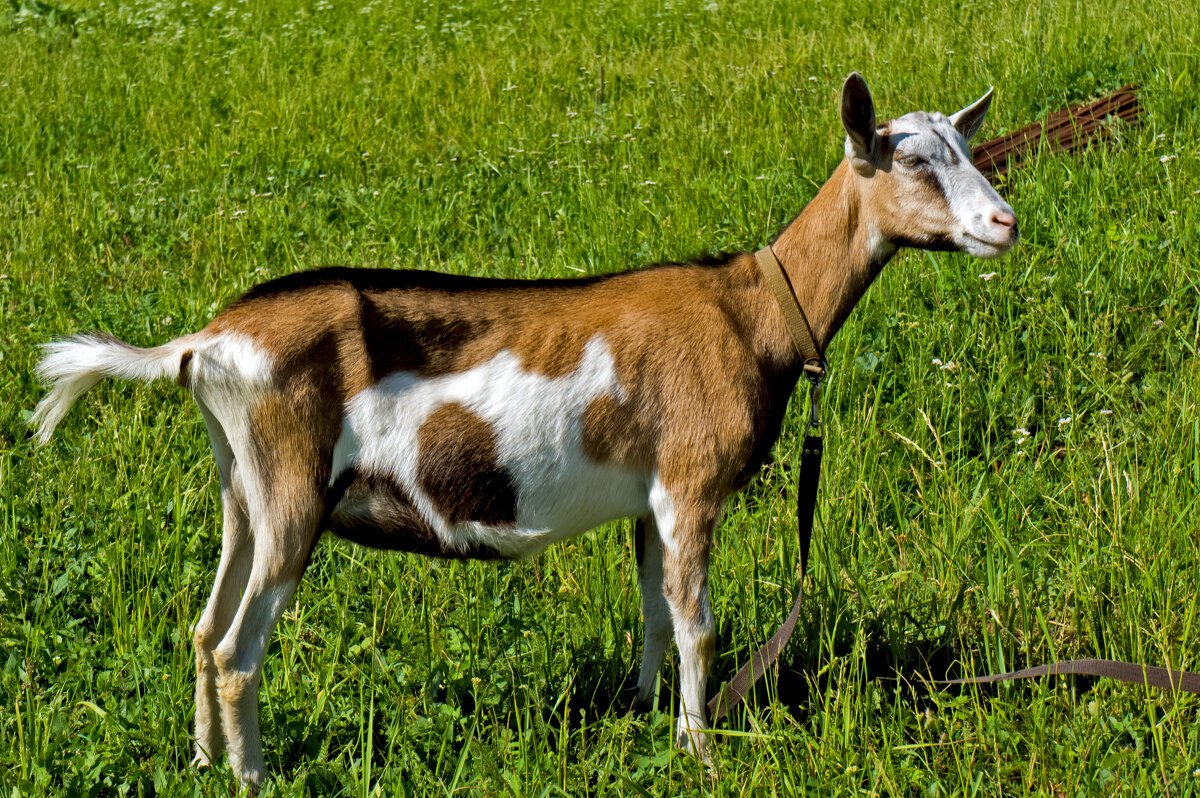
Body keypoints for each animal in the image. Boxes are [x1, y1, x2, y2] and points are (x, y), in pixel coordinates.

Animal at [30, 73, 1012, 792]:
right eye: (911, 159)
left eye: (966, 147)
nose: (1003, 222)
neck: (757, 310)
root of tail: (206, 342)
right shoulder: (690, 485)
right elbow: (698, 625)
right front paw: (702, 750)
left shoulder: (647, 501)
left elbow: (654, 614)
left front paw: (644, 714)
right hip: (293, 491)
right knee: (238, 650)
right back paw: (252, 778)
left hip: (244, 487)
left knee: (203, 631)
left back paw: (202, 762)